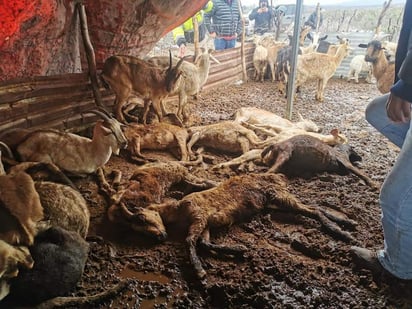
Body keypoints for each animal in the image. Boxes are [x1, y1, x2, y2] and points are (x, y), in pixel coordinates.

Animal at [104, 173, 358, 280]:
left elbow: (190, 241)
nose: (159, 236)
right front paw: (237, 250)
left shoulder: (199, 216)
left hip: (279, 195)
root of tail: (275, 177)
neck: (178, 209)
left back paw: (341, 231)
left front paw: (199, 270)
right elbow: (204, 242)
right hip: (276, 202)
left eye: (143, 218)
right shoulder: (205, 223)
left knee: (312, 210)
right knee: (312, 206)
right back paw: (347, 223)